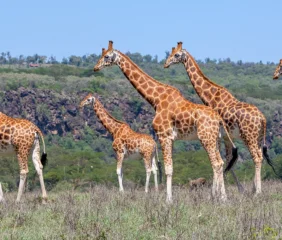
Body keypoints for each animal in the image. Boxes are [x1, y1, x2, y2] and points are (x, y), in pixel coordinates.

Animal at [93, 40, 237, 202]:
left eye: (106, 56)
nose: (95, 67)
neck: (155, 99)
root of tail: (219, 119)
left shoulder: (163, 135)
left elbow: (168, 169)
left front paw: (168, 200)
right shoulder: (171, 138)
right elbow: (170, 168)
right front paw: (169, 197)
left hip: (206, 138)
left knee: (217, 163)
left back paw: (218, 198)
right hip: (215, 138)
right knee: (220, 162)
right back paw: (220, 197)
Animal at [164, 41, 276, 195]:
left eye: (176, 54)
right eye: (170, 53)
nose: (166, 64)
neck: (211, 97)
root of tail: (263, 119)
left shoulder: (220, 135)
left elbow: (224, 160)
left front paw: (218, 191)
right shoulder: (226, 137)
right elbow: (228, 160)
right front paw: (236, 190)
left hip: (249, 136)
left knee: (257, 157)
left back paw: (257, 192)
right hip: (258, 137)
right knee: (260, 156)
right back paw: (254, 189)